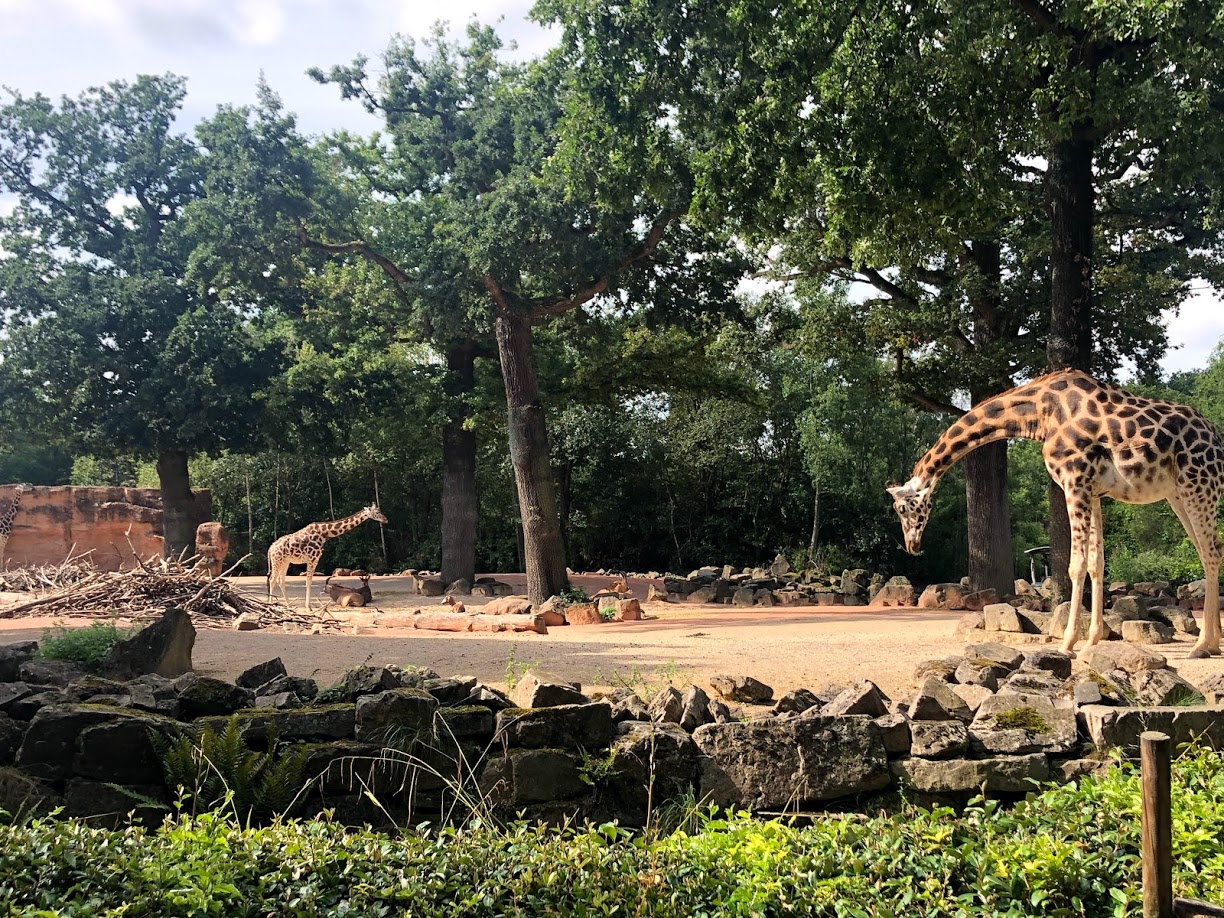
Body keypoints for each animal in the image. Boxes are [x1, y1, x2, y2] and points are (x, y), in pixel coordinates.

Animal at [887, 369, 1224, 659]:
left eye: (903, 508)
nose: (912, 546)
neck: (1038, 413)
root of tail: (1218, 441)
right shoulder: (1094, 492)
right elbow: (1097, 565)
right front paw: (1092, 641)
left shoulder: (1074, 481)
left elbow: (1076, 566)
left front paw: (1067, 643)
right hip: (1177, 495)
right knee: (1211, 550)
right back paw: (1213, 642)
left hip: (1198, 485)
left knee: (1210, 553)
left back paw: (1203, 645)